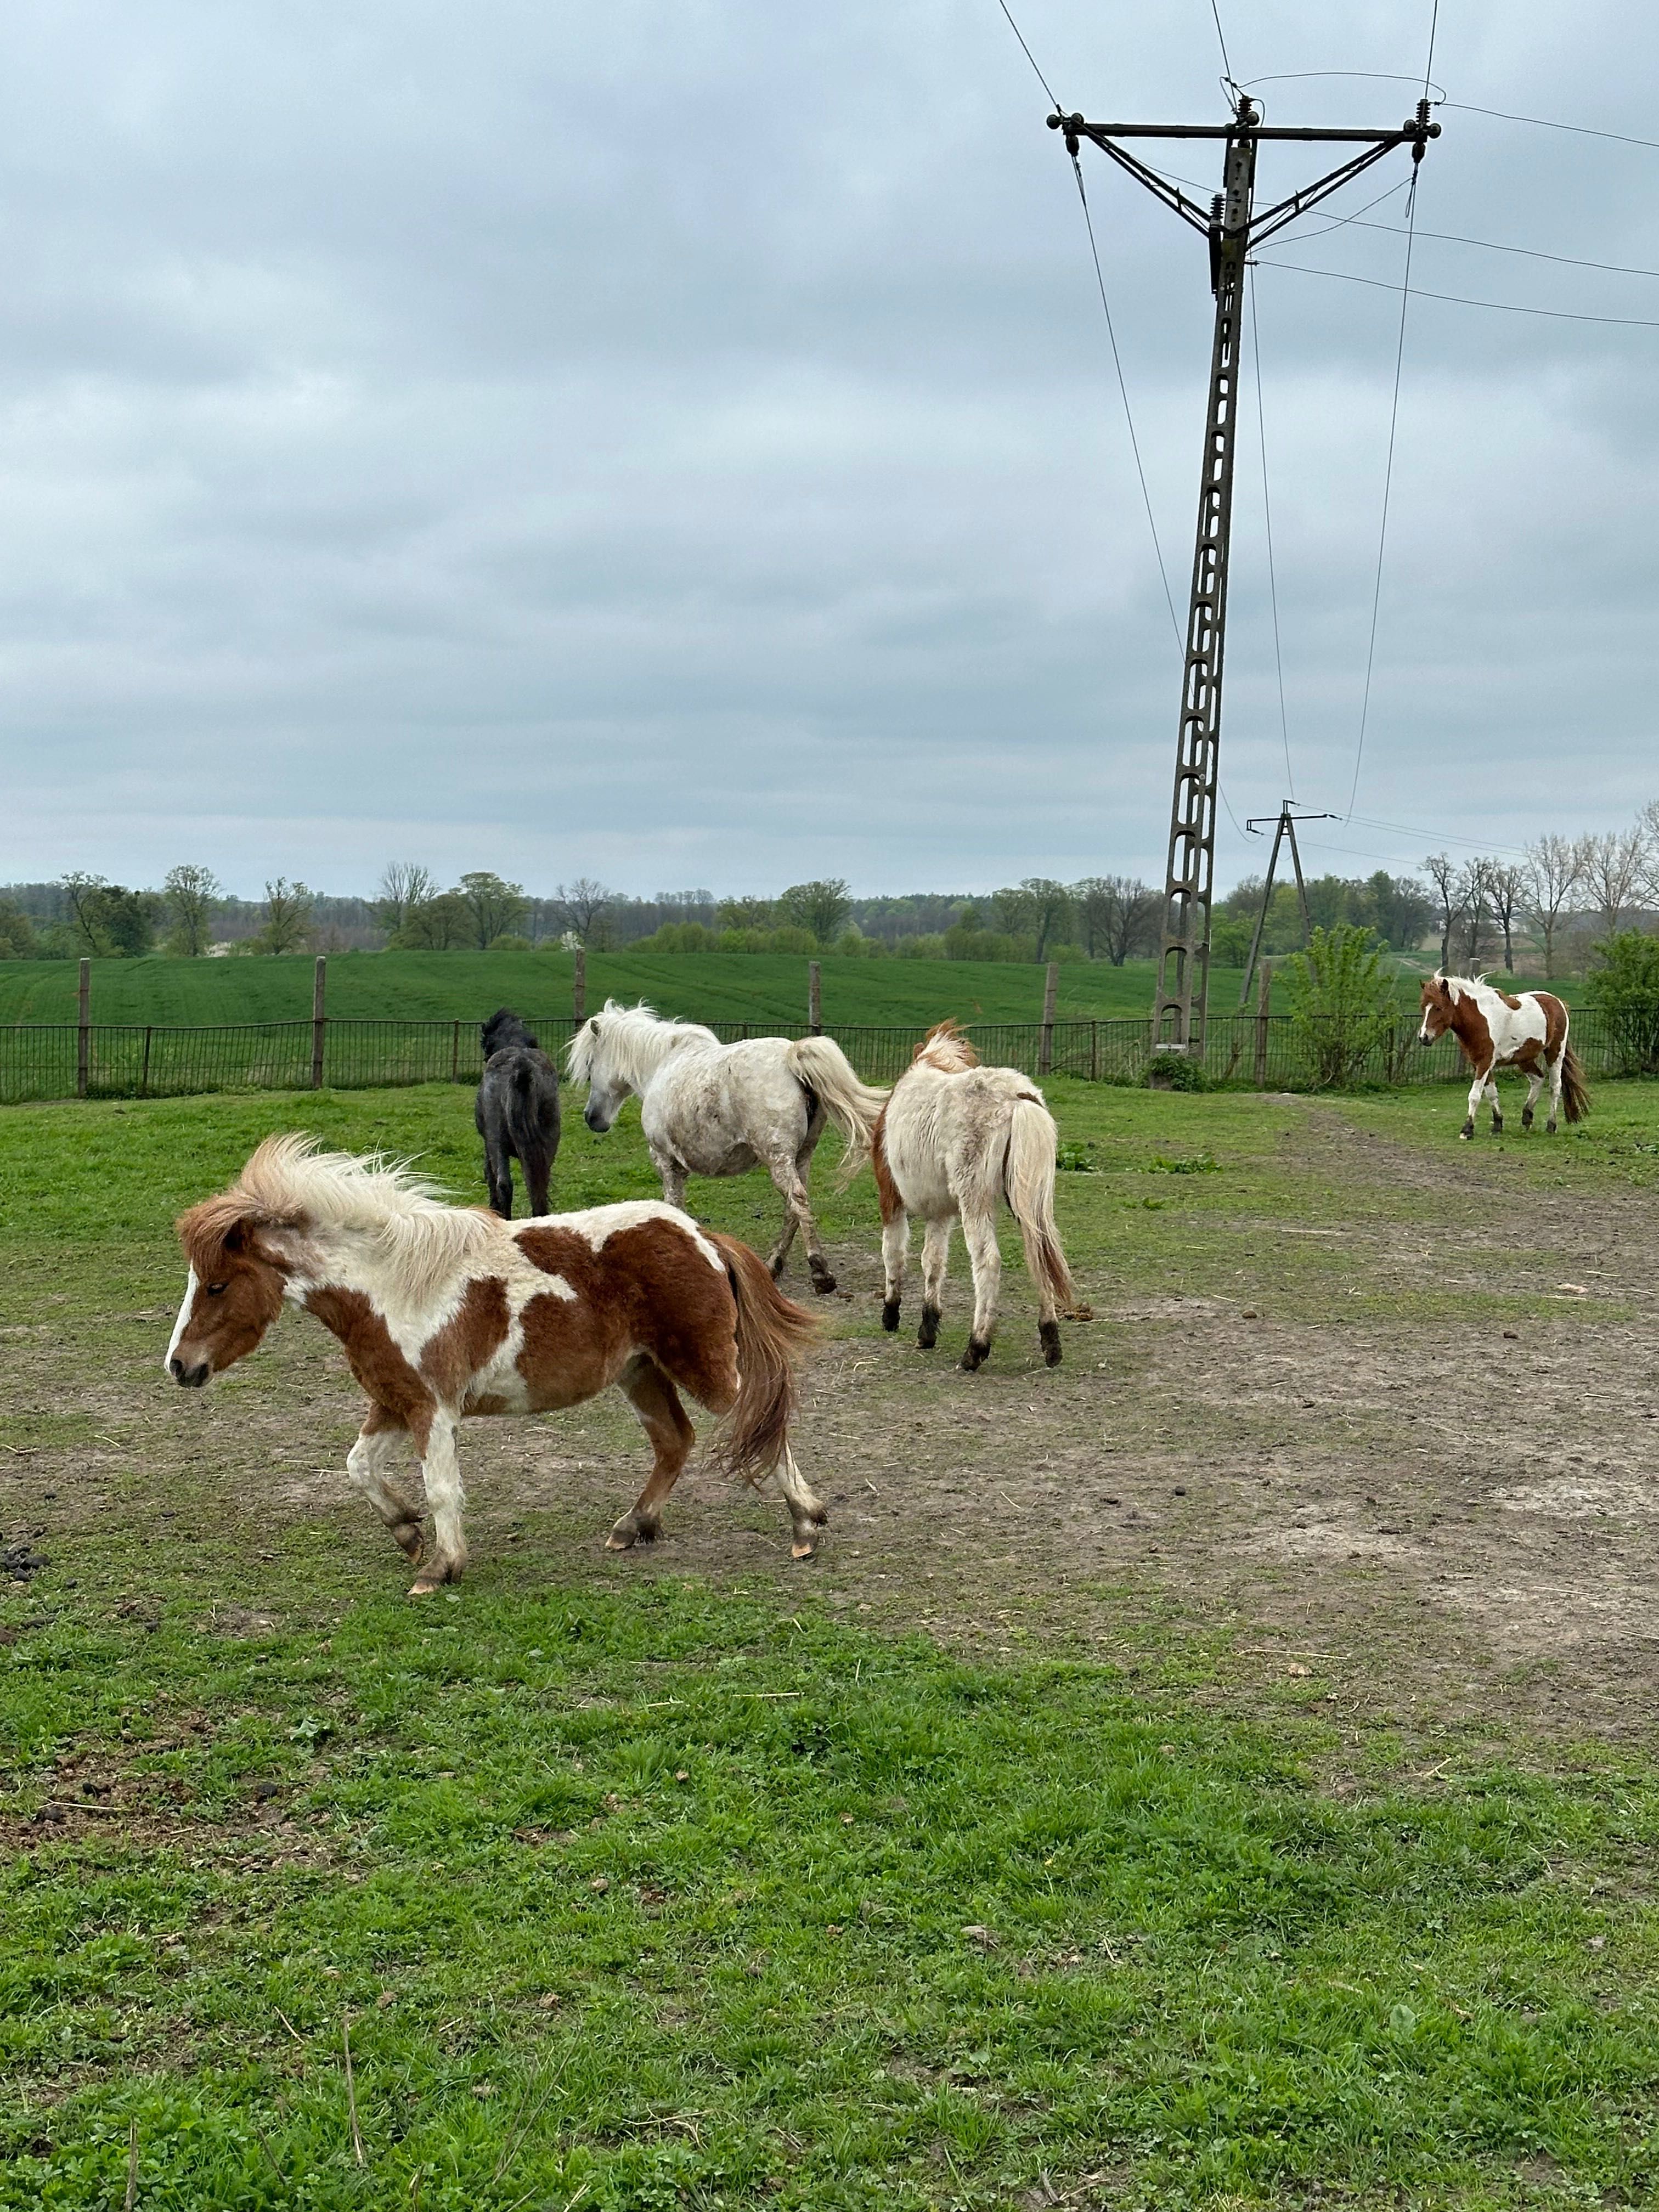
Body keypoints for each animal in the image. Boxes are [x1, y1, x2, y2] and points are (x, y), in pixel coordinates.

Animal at [166, 1141, 827, 1593]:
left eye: (218, 1285)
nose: (179, 1366)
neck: (392, 1287)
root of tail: (704, 1237)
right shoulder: (393, 1402)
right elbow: (358, 1467)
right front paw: (407, 1533)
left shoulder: (432, 1410)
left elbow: (442, 1488)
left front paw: (439, 1567)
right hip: (639, 1371)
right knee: (675, 1441)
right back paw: (632, 1526)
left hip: (704, 1368)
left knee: (763, 1427)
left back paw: (805, 1527)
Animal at [477, 1013, 562, 1221]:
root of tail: (521, 1064)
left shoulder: (488, 1146)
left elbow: (490, 1175)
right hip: (549, 1140)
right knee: (538, 1185)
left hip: (497, 1143)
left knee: (504, 1184)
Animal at [571, 1004, 889, 1291]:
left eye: (590, 1065)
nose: (592, 1118)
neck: (662, 1065)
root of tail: (792, 1056)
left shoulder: (665, 1161)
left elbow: (674, 1206)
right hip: (801, 1157)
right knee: (794, 1209)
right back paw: (773, 1266)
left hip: (778, 1157)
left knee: (797, 1201)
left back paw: (820, 1272)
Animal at [858, 1026, 1079, 1371]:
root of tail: (1018, 1097)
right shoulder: (939, 1213)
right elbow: (933, 1262)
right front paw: (927, 1330)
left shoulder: (891, 1199)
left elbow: (894, 1252)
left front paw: (891, 1314)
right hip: (1028, 1202)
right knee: (1038, 1254)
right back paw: (1051, 1343)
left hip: (975, 1200)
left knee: (987, 1261)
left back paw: (976, 1348)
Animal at [1415, 973, 1601, 1141]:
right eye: (1424, 1007)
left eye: (1439, 1008)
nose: (1424, 1038)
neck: (1480, 1019)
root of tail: (1558, 1002)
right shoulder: (1480, 1063)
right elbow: (1492, 1094)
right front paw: (1497, 1125)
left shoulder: (1484, 1062)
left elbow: (1474, 1095)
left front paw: (1467, 1130)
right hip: (1524, 1058)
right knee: (1538, 1079)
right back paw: (1527, 1118)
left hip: (1555, 1053)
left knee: (1555, 1087)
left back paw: (1551, 1125)